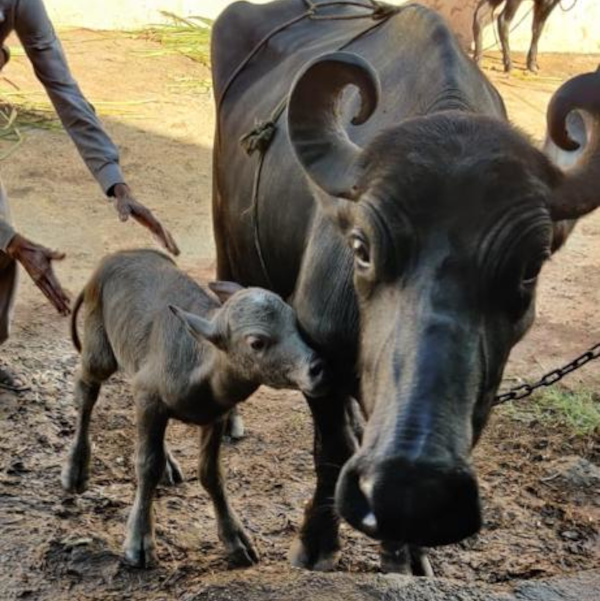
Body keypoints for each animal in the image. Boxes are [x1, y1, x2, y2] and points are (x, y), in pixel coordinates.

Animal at [209, 0, 596, 572]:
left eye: (530, 268)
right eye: (361, 248)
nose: (412, 490)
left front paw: (405, 553)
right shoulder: (317, 346)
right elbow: (331, 450)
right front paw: (316, 543)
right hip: (227, 240)